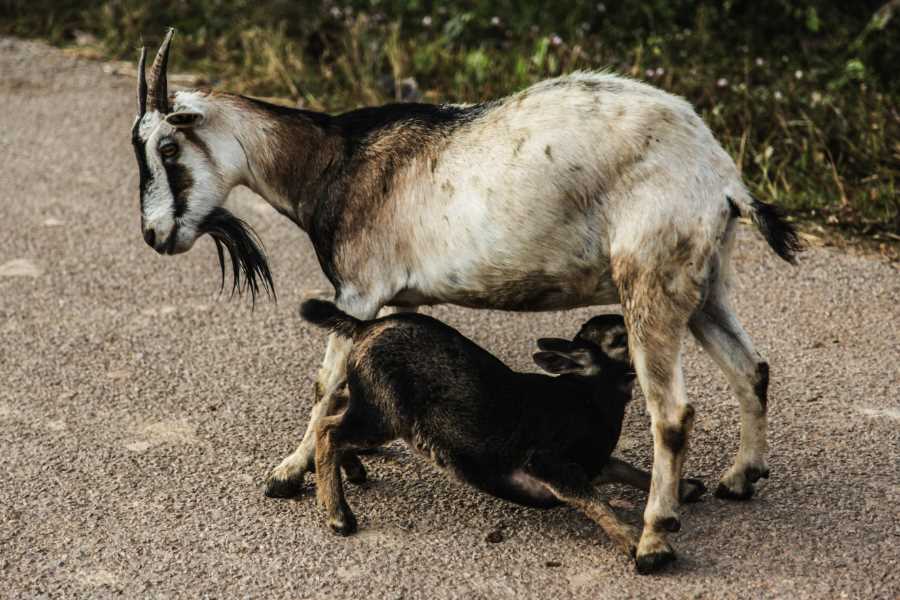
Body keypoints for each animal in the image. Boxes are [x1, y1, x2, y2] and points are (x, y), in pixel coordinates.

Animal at [300, 300, 704, 568]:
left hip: (369, 403)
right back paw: (339, 515)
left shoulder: (593, 465)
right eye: (622, 338)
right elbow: (598, 502)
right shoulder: (551, 466)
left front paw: (685, 489)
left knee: (333, 417)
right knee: (329, 430)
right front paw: (641, 546)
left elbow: (629, 470)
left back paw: (351, 471)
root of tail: (363, 327)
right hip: (384, 415)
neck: (589, 394)